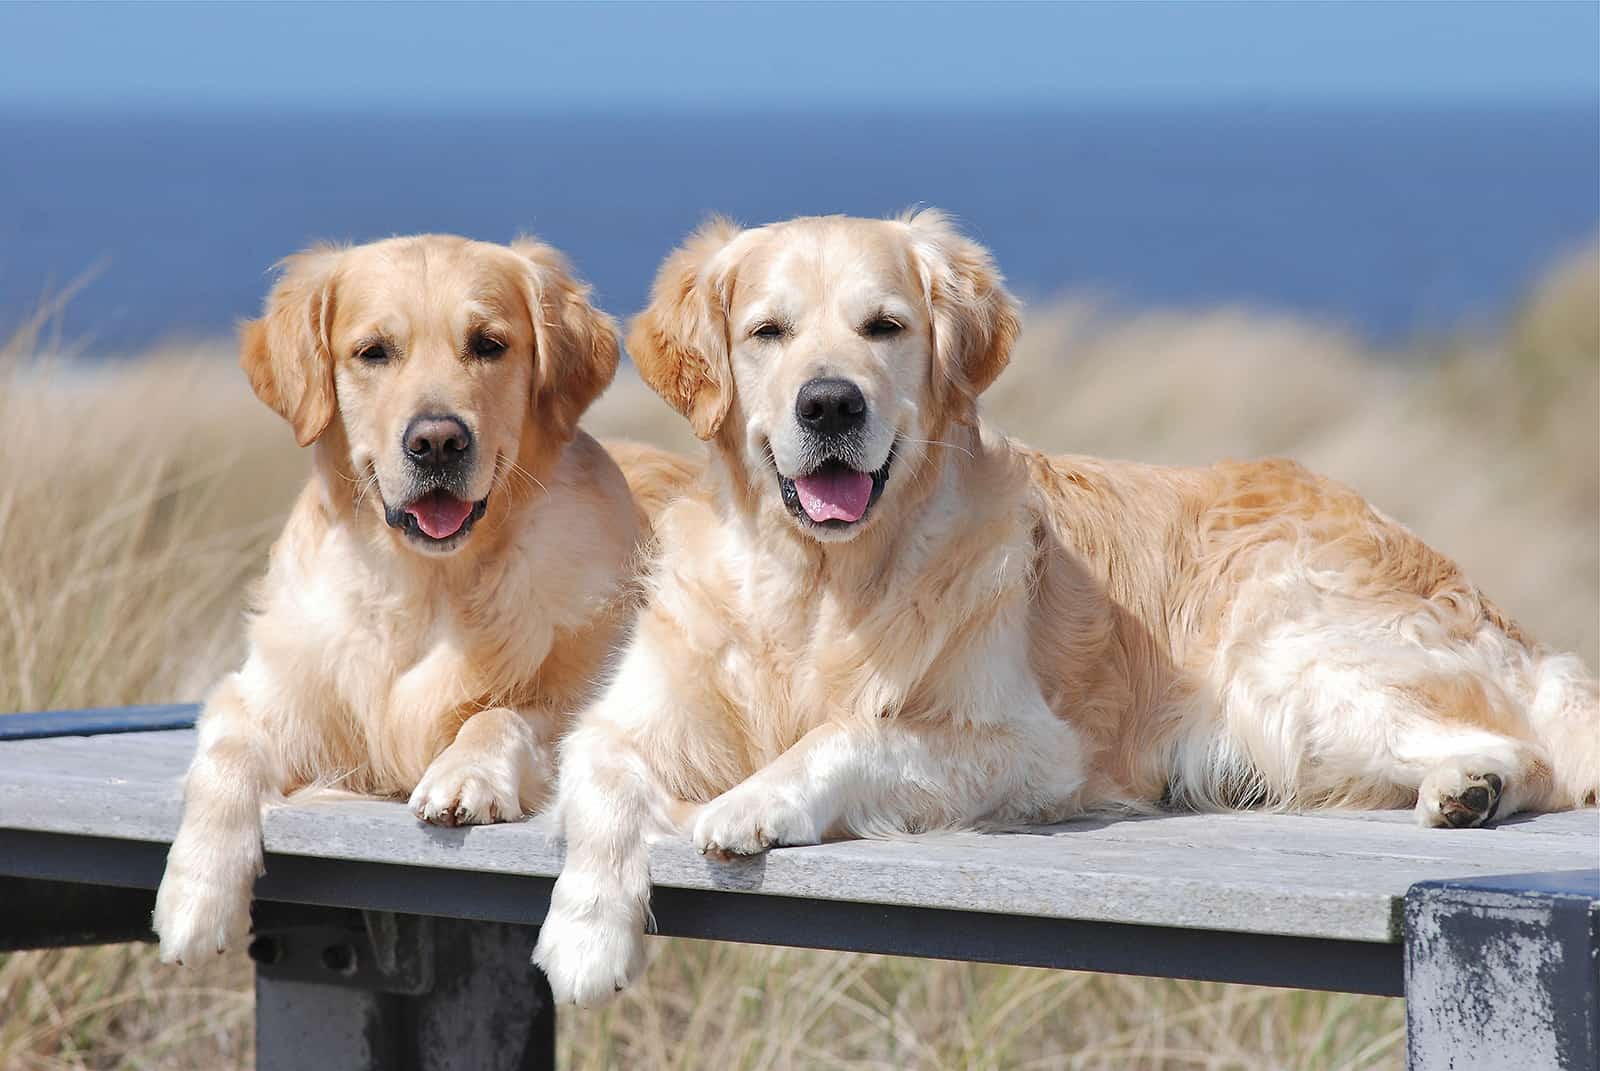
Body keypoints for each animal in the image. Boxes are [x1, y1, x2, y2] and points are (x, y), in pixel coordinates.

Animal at [151, 232, 694, 960]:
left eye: (488, 344)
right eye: (373, 351)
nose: (437, 441)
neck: (427, 587)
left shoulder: (588, 696)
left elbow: (505, 713)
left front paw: (467, 772)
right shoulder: (265, 693)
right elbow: (226, 751)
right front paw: (195, 894)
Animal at [531, 211, 1593, 1005]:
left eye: (885, 327)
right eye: (768, 332)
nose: (830, 404)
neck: (819, 584)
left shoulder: (1030, 745)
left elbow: (851, 734)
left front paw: (753, 798)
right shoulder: (622, 719)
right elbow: (599, 784)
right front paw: (585, 935)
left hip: (1285, 655)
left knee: (1526, 750)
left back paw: (1468, 788)